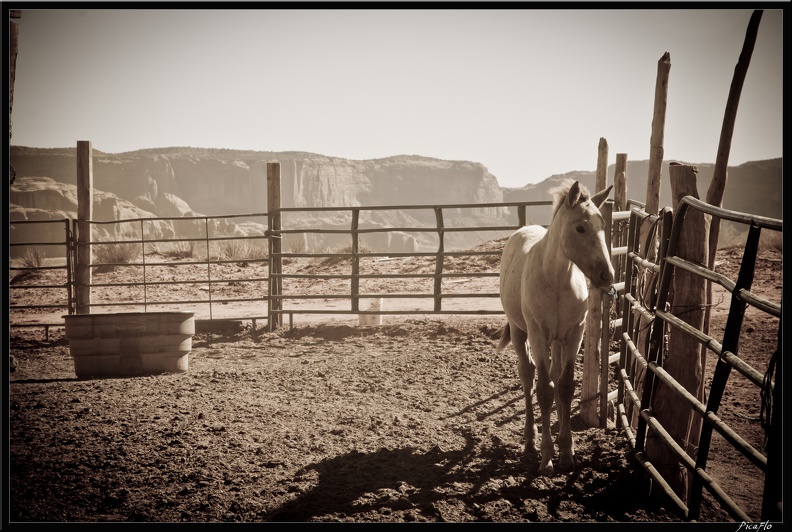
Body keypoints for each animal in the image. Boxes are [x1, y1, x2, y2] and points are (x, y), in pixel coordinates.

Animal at [498, 179, 616, 474]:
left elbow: (564, 386)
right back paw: (530, 441)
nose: (606, 275)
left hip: (558, 341)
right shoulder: (538, 335)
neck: (557, 281)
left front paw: (567, 452)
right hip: (521, 332)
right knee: (527, 376)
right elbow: (544, 390)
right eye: (580, 227)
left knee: (556, 375)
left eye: (602, 225)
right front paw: (547, 457)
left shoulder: (574, 334)